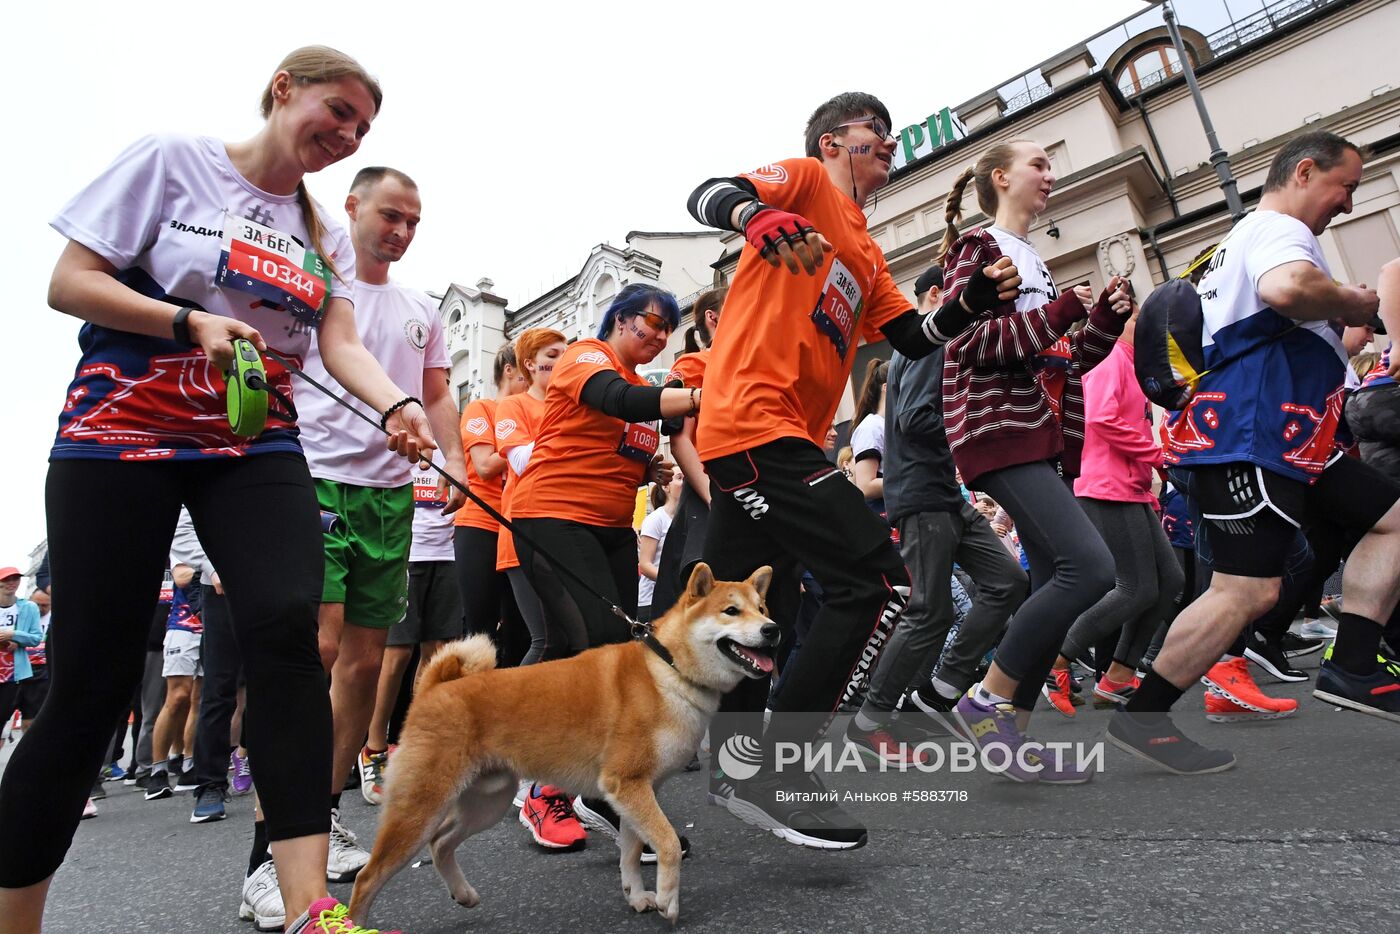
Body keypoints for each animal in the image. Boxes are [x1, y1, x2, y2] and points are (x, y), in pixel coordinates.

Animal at [348, 562, 778, 929]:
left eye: (761, 608)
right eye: (731, 611)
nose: (772, 630)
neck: (668, 668)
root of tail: (434, 688)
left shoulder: (636, 791)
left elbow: (631, 852)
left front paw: (637, 896)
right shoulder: (628, 784)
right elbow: (668, 844)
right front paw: (667, 902)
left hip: (487, 802)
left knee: (440, 844)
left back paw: (463, 894)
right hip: (419, 809)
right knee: (369, 877)